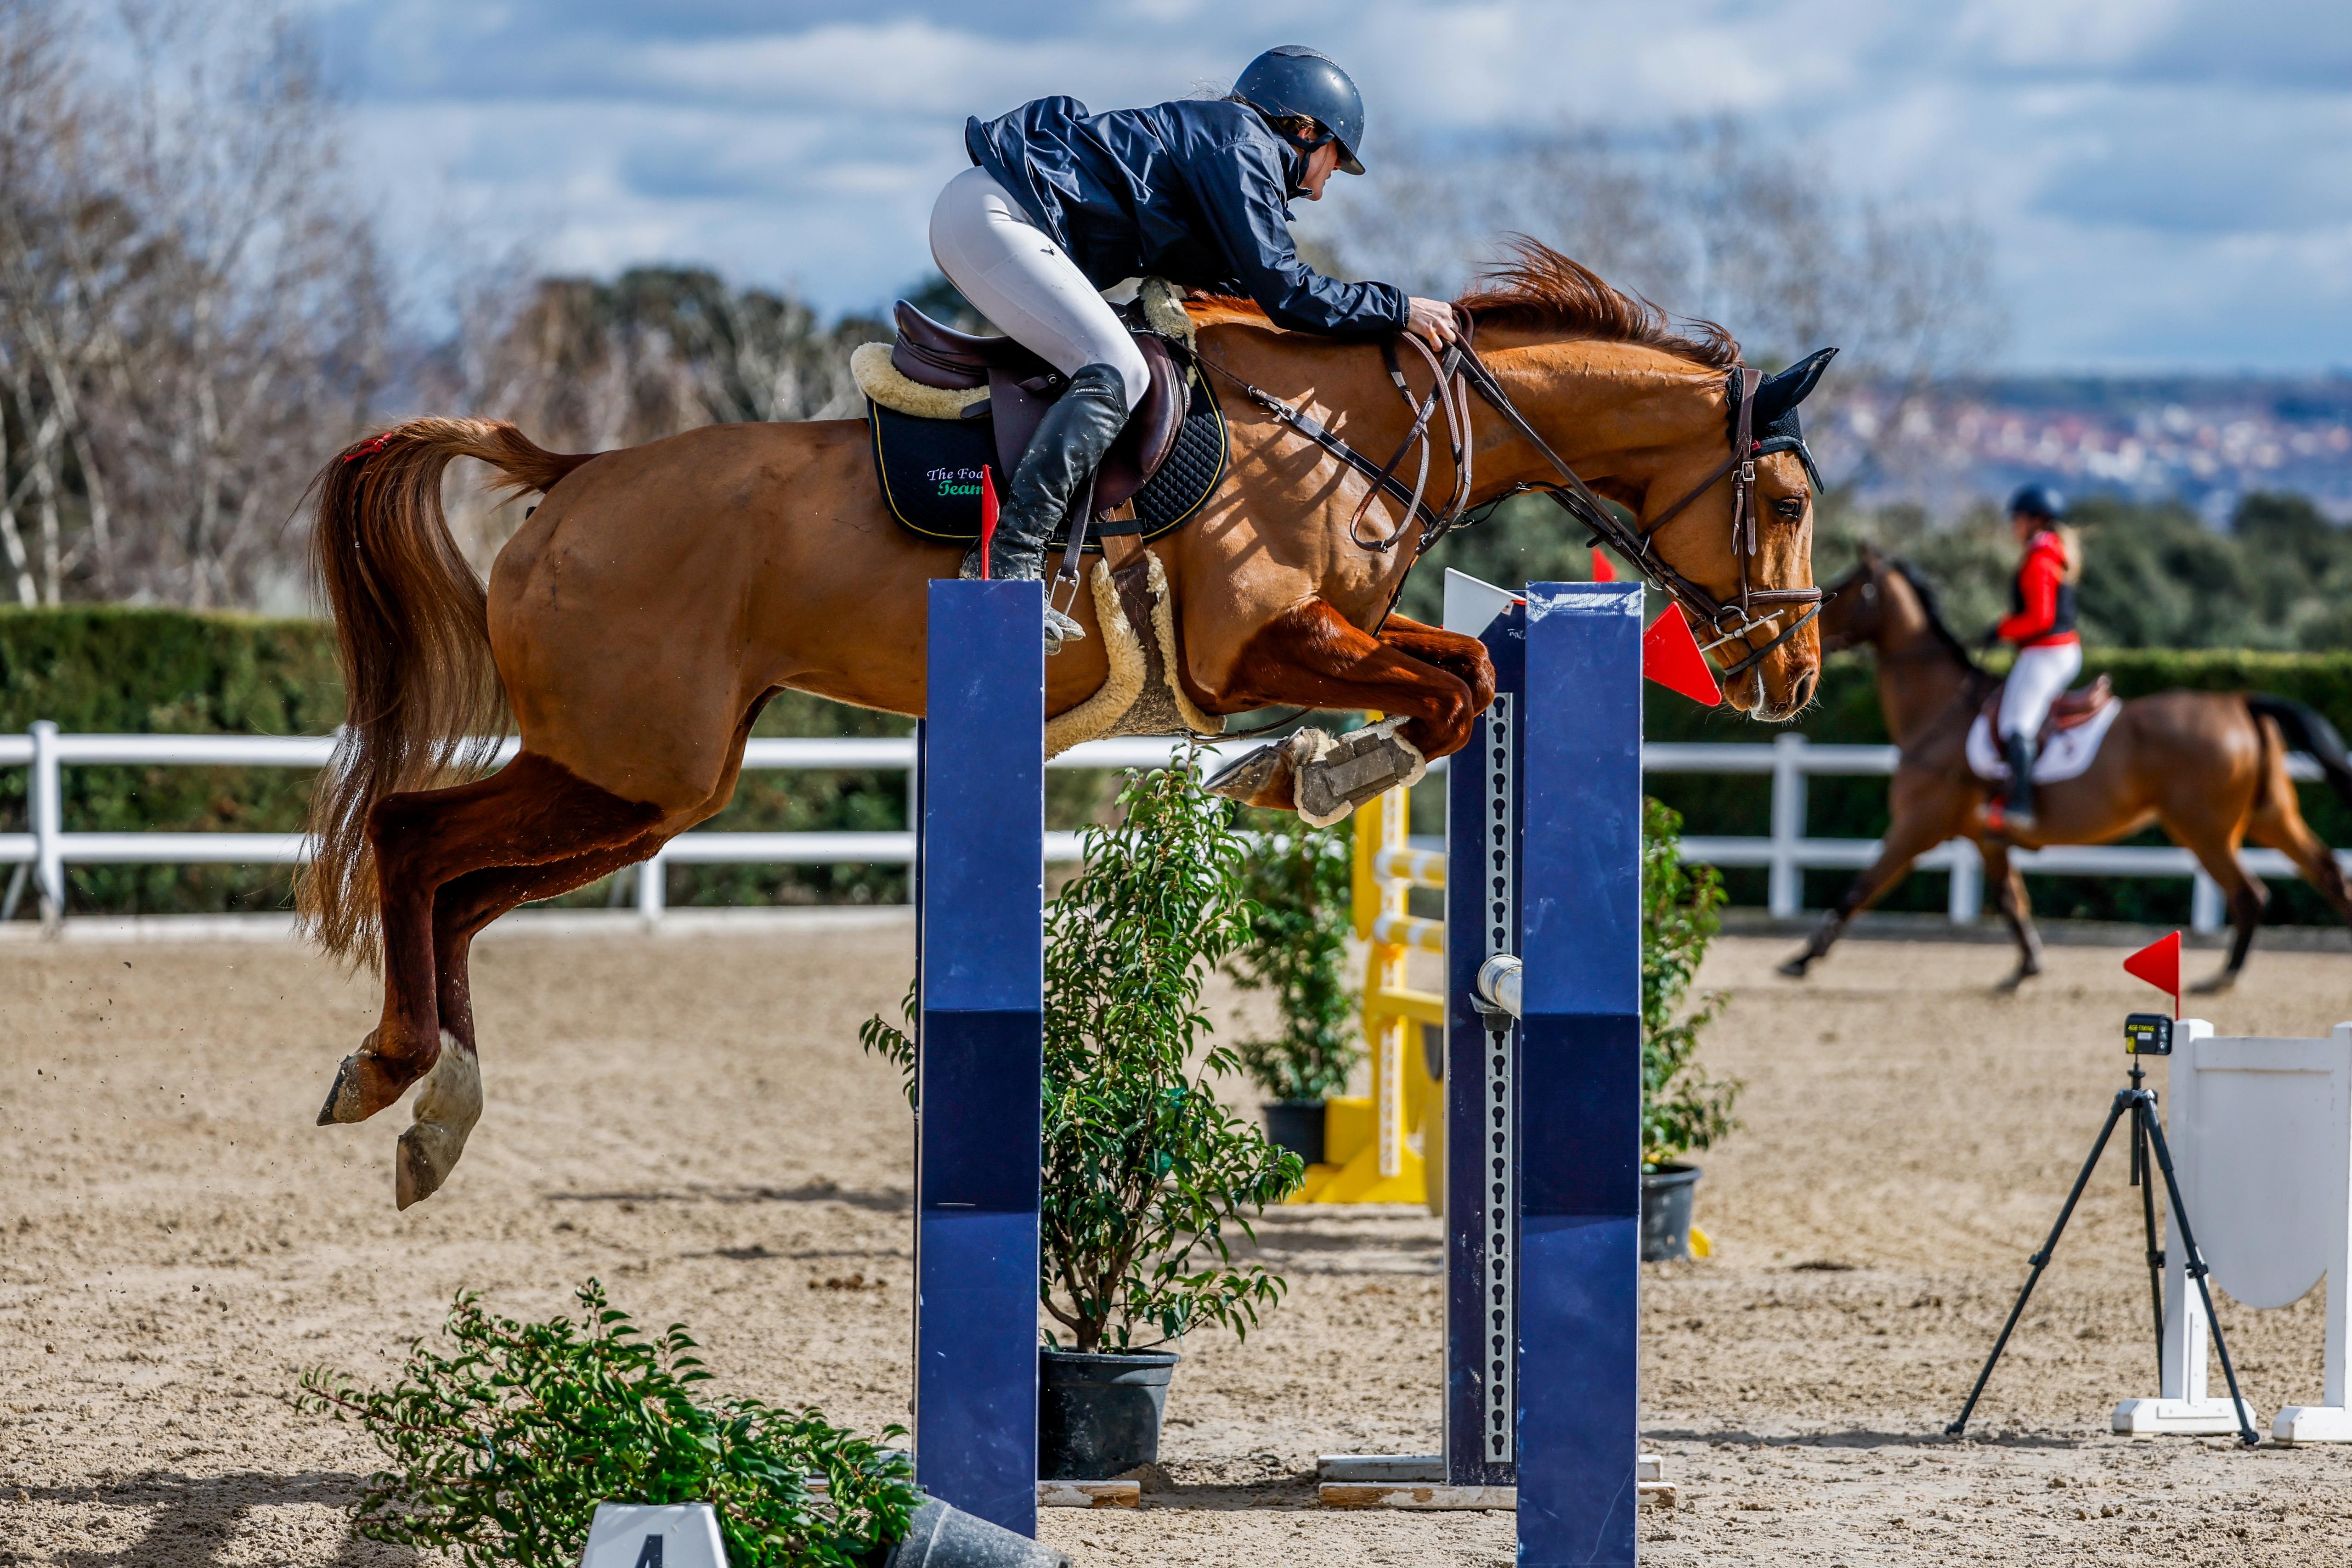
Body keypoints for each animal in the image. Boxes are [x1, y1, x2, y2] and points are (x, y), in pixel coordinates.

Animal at [298, 242, 1832, 1207]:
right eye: (1790, 498)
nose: (1798, 677)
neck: (1349, 422)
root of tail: (568, 471)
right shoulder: (1262, 644)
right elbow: (1449, 688)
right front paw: (1302, 771)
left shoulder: (1325, 638)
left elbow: (1457, 676)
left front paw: (1297, 771)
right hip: (635, 766)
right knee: (414, 837)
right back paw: (397, 1072)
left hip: (649, 785)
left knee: (458, 884)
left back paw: (434, 1103)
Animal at [1780, 545, 2352, 990]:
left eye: (1847, 587)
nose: (1806, 640)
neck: (1938, 710)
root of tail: (2237, 703)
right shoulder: (1984, 838)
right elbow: (2011, 901)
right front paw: (2026, 968)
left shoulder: (1917, 826)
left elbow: (1859, 887)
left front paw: (1800, 959)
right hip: (2267, 815)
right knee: (2326, 871)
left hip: (2204, 829)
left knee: (2248, 894)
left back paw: (2222, 978)